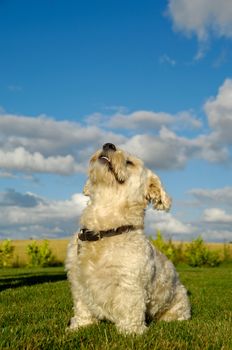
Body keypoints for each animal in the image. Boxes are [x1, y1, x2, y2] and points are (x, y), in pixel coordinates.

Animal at [65, 144, 190, 334]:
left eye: (130, 162)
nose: (108, 144)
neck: (104, 230)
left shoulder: (129, 281)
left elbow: (130, 307)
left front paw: (131, 332)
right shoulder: (78, 280)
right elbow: (82, 306)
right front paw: (80, 325)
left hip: (178, 302)